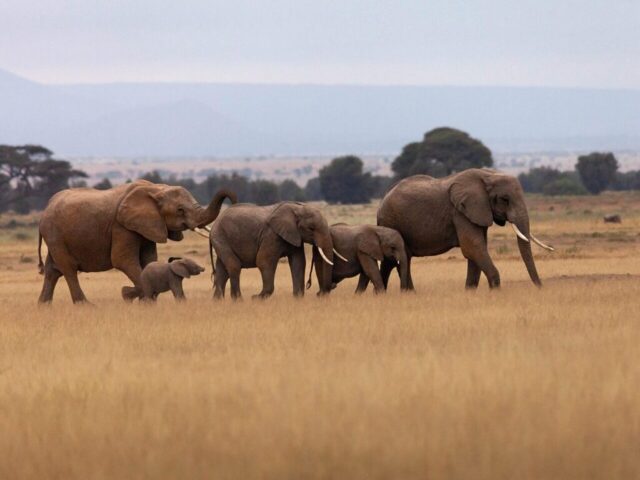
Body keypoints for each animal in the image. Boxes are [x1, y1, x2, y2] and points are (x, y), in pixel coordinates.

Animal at [37, 180, 236, 304]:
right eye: (180, 210)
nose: (234, 201)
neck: (156, 189)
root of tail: (45, 209)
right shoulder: (121, 226)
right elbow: (122, 260)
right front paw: (131, 295)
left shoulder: (148, 226)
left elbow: (149, 260)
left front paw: (136, 297)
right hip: (55, 235)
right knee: (68, 269)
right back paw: (86, 306)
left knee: (52, 271)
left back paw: (43, 307)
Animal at [209, 201, 340, 299]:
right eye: (311, 228)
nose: (319, 293)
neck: (297, 208)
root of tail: (215, 224)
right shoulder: (271, 235)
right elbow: (264, 261)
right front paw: (256, 298)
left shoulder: (294, 236)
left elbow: (298, 262)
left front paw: (297, 298)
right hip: (220, 237)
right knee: (234, 266)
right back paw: (239, 301)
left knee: (222, 271)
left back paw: (217, 302)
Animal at [377, 168, 554, 290]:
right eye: (505, 199)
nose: (540, 287)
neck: (488, 175)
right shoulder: (460, 212)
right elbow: (473, 247)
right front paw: (495, 291)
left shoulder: (477, 212)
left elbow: (477, 249)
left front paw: (469, 292)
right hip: (390, 220)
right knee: (397, 260)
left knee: (398, 260)